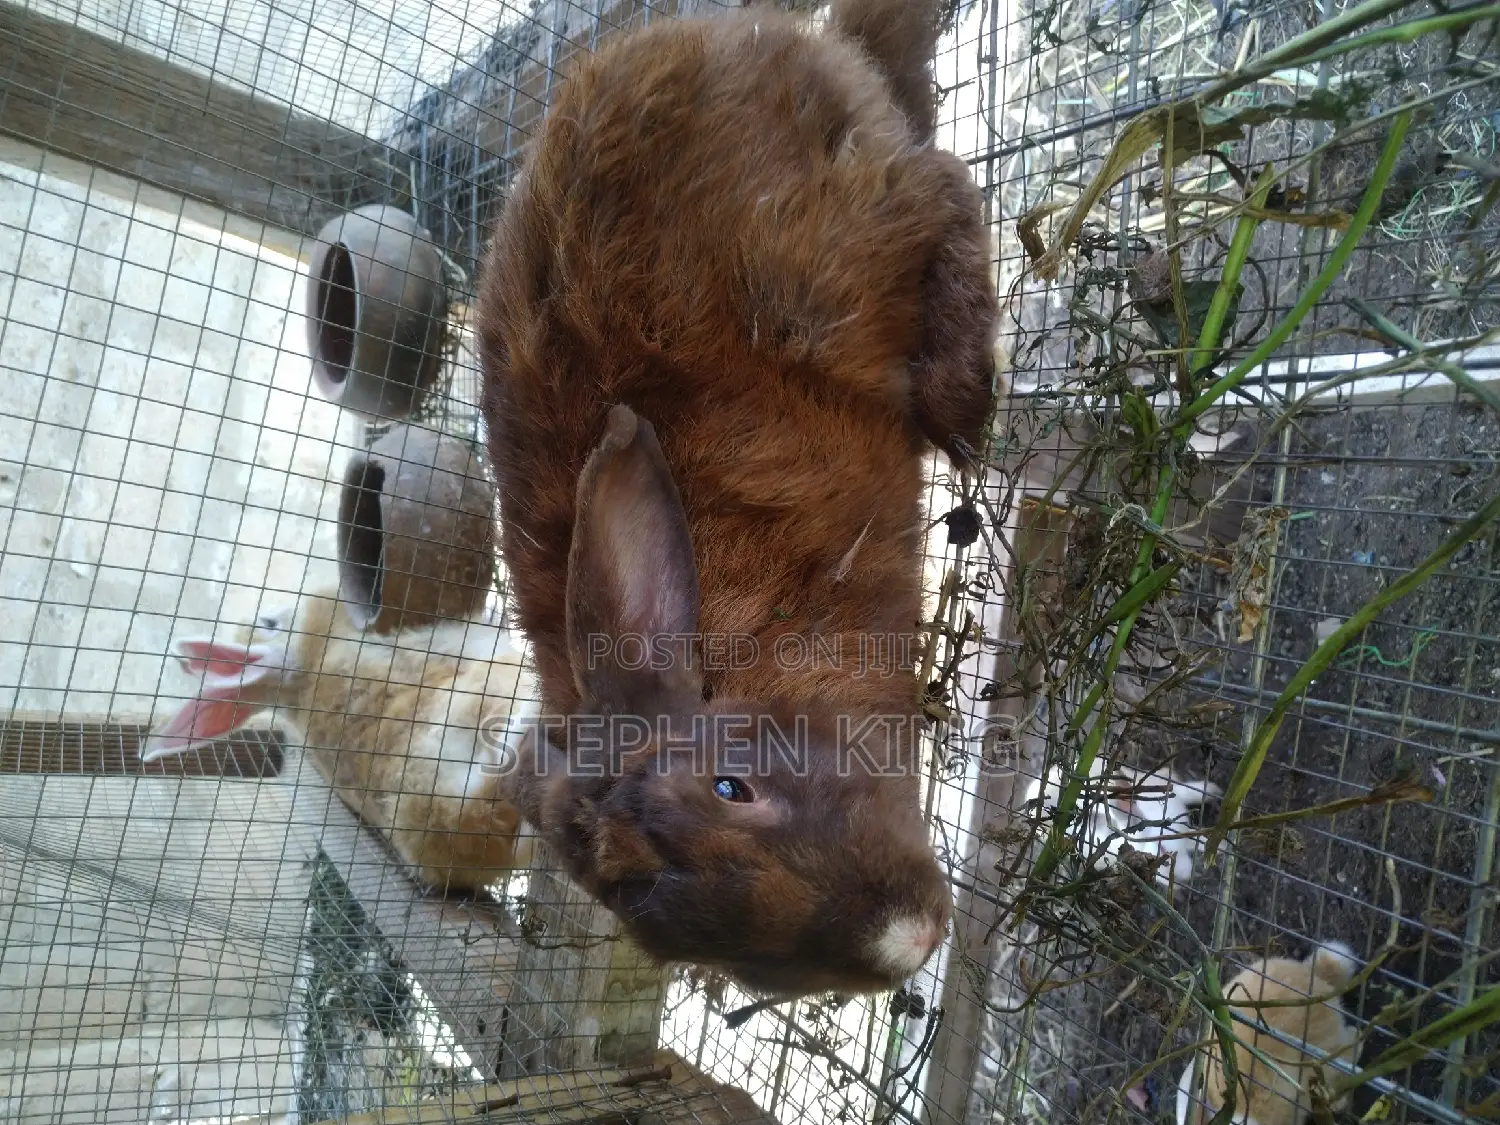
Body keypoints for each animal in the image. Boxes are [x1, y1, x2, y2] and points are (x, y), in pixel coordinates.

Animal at [475, 0, 998, 1000]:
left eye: (730, 786)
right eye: (644, 910)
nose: (903, 943)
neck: (748, 652)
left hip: (847, 225)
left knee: (947, 184)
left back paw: (965, 407)